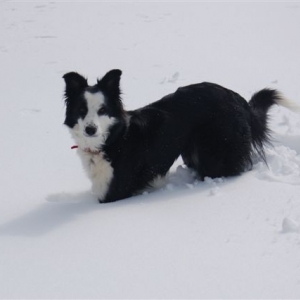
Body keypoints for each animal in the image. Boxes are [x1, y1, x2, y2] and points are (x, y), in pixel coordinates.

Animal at [62, 69, 290, 203]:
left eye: (102, 110)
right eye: (82, 110)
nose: (90, 129)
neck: (113, 139)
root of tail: (239, 100)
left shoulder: (115, 190)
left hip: (217, 151)